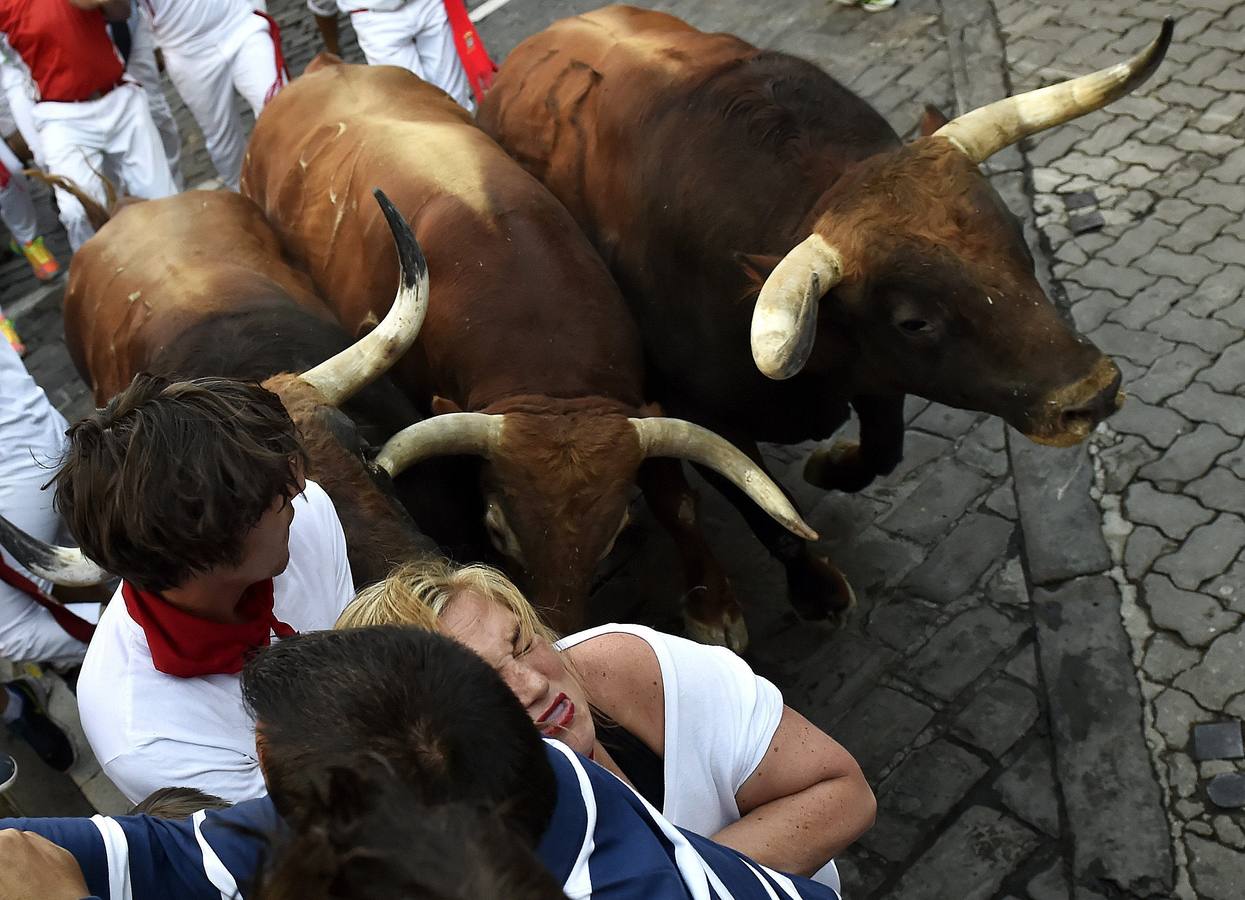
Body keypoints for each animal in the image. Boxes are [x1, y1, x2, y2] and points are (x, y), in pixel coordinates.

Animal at [478, 5, 1175, 627]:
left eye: (1018, 240)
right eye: (914, 321)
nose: (1093, 392)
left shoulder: (874, 374)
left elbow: (883, 451)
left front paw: (830, 466)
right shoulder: (701, 416)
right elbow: (769, 512)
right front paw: (814, 592)